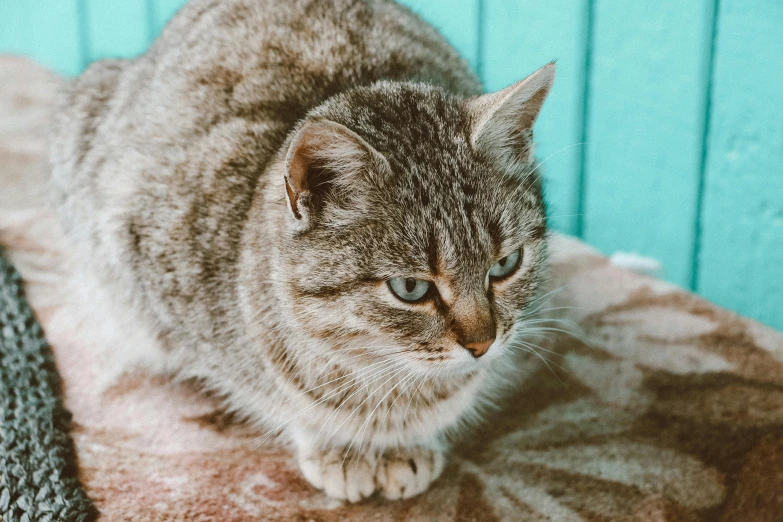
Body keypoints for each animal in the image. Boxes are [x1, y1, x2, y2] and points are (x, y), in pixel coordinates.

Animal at [49, 0, 556, 502]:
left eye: (505, 265)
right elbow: (290, 404)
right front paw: (339, 448)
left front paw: (406, 443)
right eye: (410, 288)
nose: (483, 345)